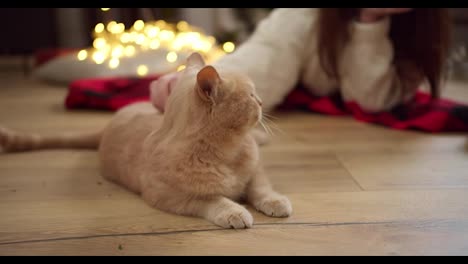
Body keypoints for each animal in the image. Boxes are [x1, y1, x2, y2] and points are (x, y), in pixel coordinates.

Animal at [0, 52, 290, 229]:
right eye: (251, 95)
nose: (261, 101)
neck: (227, 151)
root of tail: (109, 124)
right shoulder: (169, 196)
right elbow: (213, 200)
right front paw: (234, 211)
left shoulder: (256, 172)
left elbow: (261, 187)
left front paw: (276, 202)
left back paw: (261, 137)